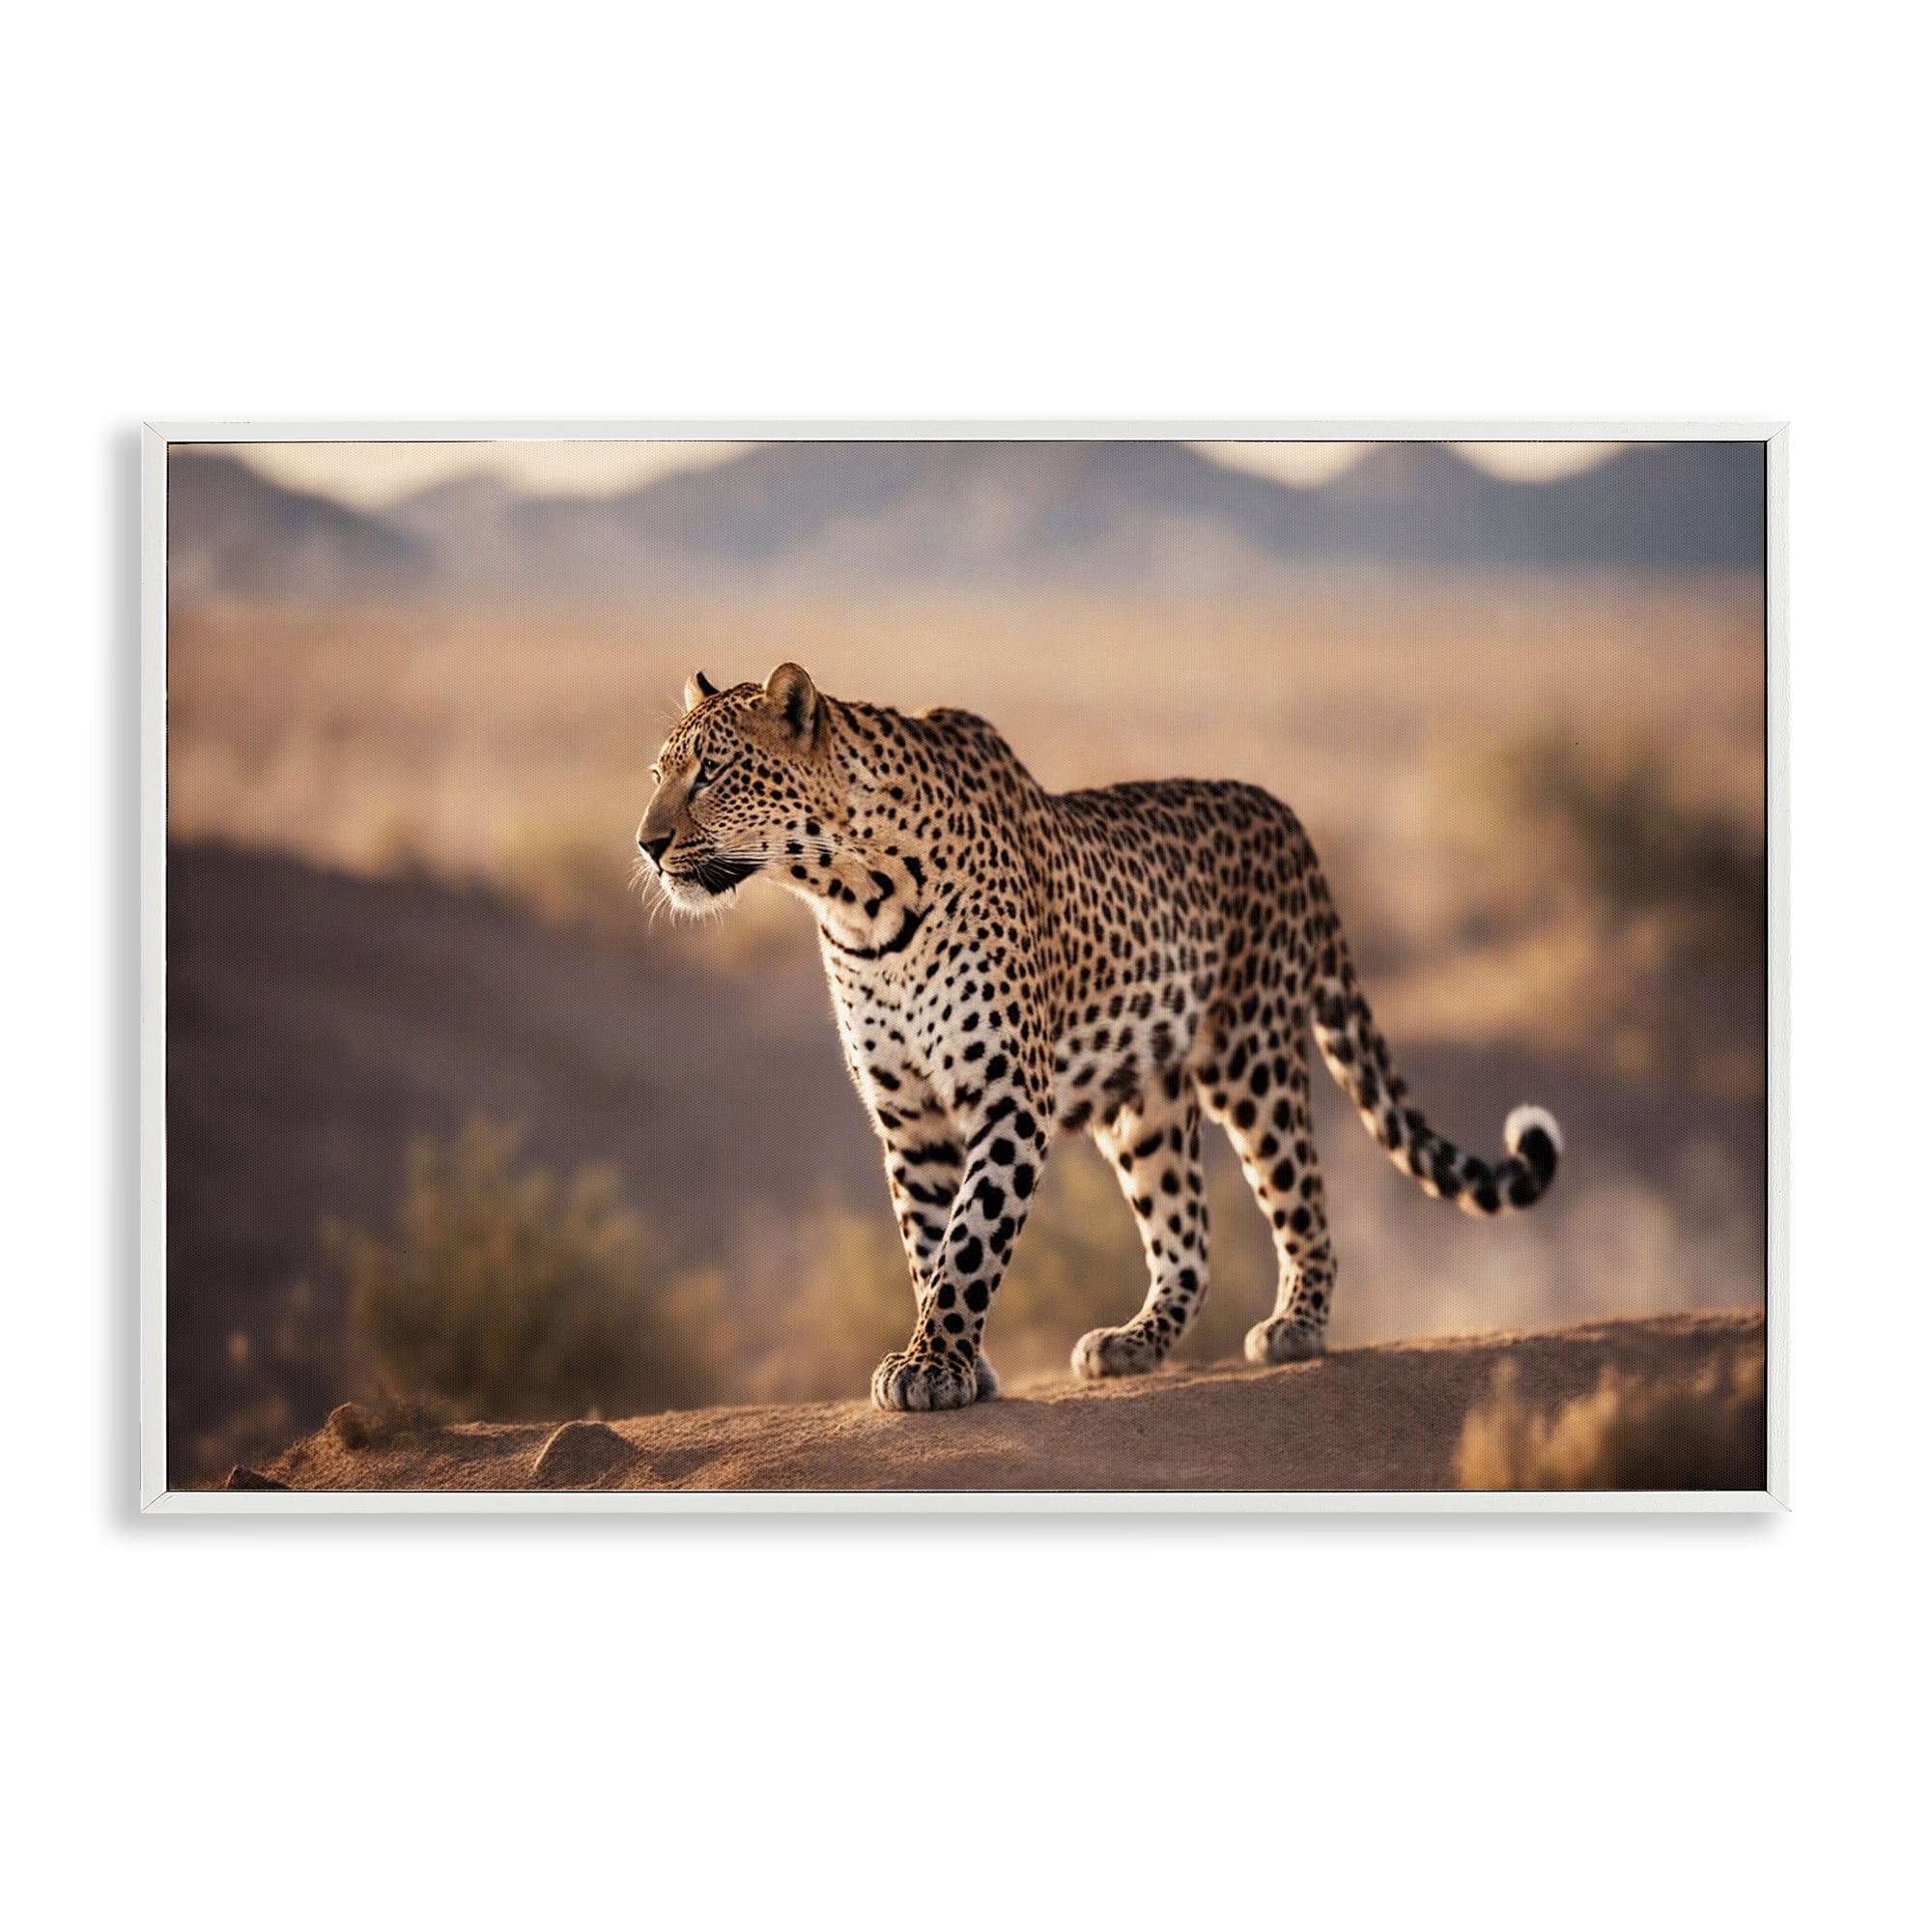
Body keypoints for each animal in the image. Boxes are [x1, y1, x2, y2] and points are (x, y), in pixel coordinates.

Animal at [636, 662, 1563, 1413]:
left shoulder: (1007, 1098)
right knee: (1189, 1237)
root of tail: (1287, 816)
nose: (646, 844)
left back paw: (1296, 1326)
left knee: (1300, 1194)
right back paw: (1134, 1342)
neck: (850, 898)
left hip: (1253, 1056)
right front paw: (956, 1365)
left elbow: (971, 1240)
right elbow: (928, 1241)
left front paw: (934, 1367)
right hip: (1145, 1106)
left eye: (712, 773)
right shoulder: (912, 1117)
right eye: (658, 773)